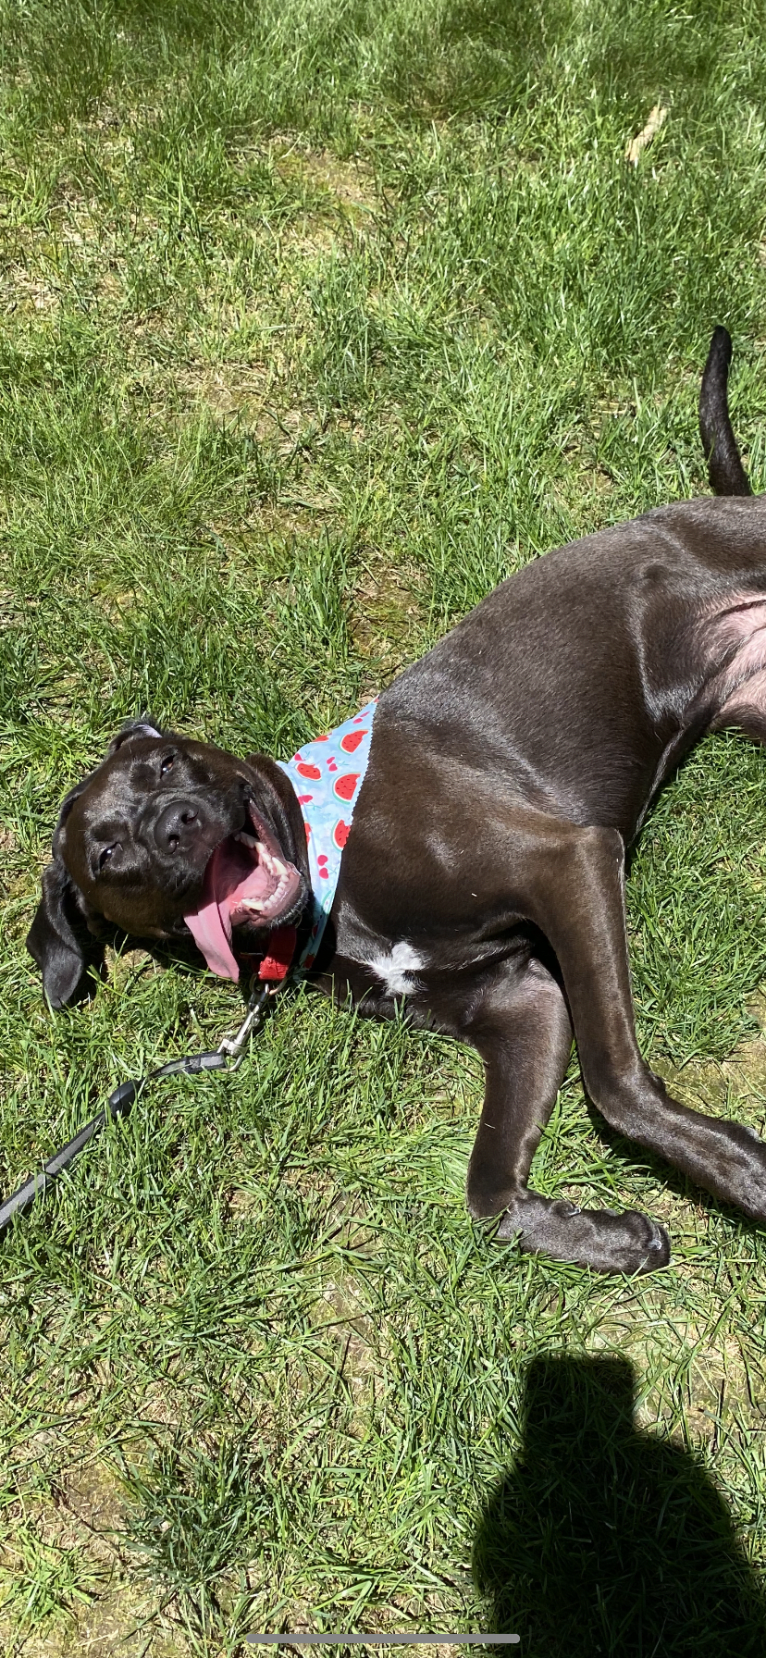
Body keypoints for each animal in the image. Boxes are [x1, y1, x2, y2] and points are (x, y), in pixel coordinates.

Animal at [25, 329, 766, 1273]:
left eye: (164, 764)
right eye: (109, 854)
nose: (177, 826)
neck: (326, 869)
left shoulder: (566, 861)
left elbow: (614, 1080)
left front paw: (741, 1172)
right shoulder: (523, 1001)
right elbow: (487, 1192)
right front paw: (601, 1235)